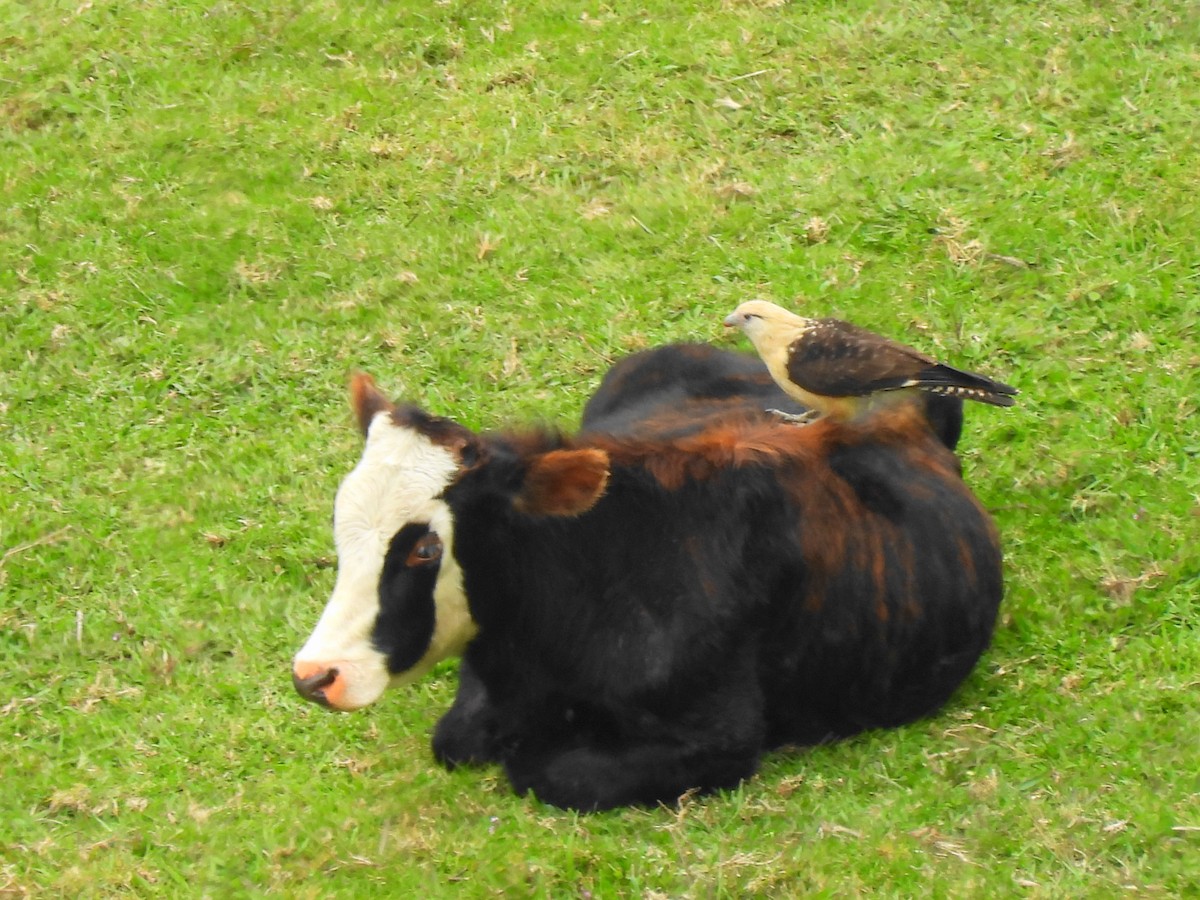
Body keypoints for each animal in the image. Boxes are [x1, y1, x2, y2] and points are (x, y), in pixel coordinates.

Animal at [292, 340, 1003, 816]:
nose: (315, 675)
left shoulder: (719, 741)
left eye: (423, 549)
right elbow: (456, 738)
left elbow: (541, 770)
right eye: (340, 522)